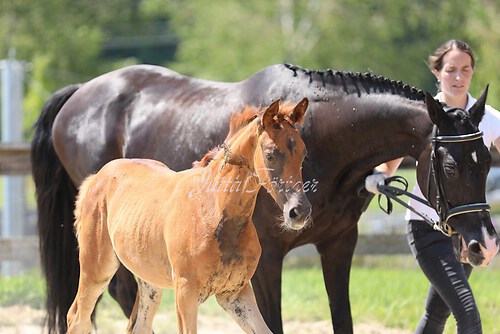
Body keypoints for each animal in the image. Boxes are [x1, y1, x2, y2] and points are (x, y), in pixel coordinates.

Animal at [31, 64, 496, 332]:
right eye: (450, 167)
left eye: (488, 159)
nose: (482, 245)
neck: (328, 137)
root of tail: (78, 94)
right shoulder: (268, 261)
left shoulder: (339, 245)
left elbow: (341, 318)